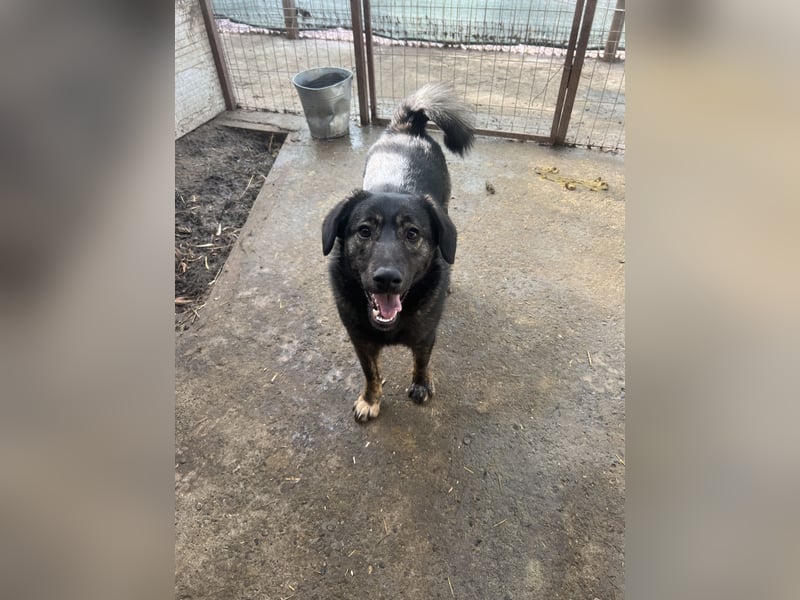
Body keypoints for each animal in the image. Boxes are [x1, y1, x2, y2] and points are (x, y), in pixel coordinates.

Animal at [322, 83, 474, 421]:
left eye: (413, 234)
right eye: (365, 231)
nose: (387, 279)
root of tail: (407, 126)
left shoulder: (426, 335)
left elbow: (421, 362)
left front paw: (421, 385)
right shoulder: (360, 340)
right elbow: (371, 374)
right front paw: (370, 399)